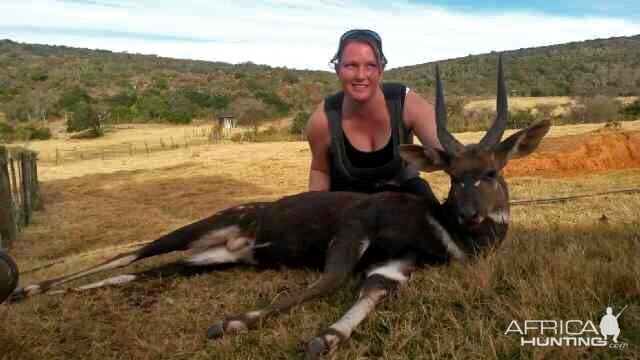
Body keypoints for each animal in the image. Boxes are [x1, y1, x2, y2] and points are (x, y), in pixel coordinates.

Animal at [6, 57, 552, 358]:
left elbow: (368, 294)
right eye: (454, 176)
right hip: (197, 229)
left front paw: (325, 339)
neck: (436, 229)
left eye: (491, 172)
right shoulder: (354, 227)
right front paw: (230, 323)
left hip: (209, 260)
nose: (470, 215)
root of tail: (231, 236)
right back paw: (25, 288)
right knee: (132, 253)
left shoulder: (396, 265)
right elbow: (328, 280)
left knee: (142, 273)